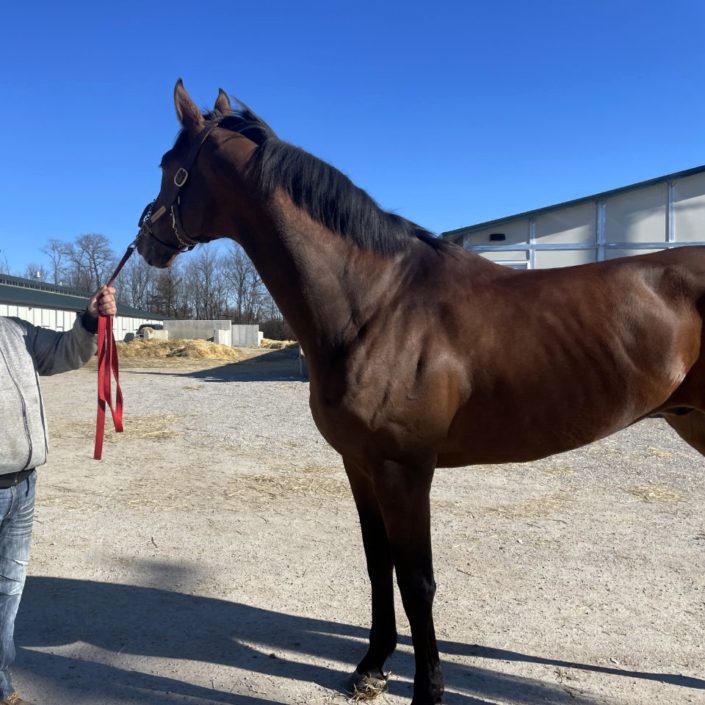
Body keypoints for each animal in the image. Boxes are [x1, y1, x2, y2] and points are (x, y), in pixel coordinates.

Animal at [136, 79, 705, 705]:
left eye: (167, 165)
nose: (146, 240)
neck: (376, 303)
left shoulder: (404, 469)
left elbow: (417, 581)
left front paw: (426, 689)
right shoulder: (360, 466)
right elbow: (376, 565)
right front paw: (371, 666)